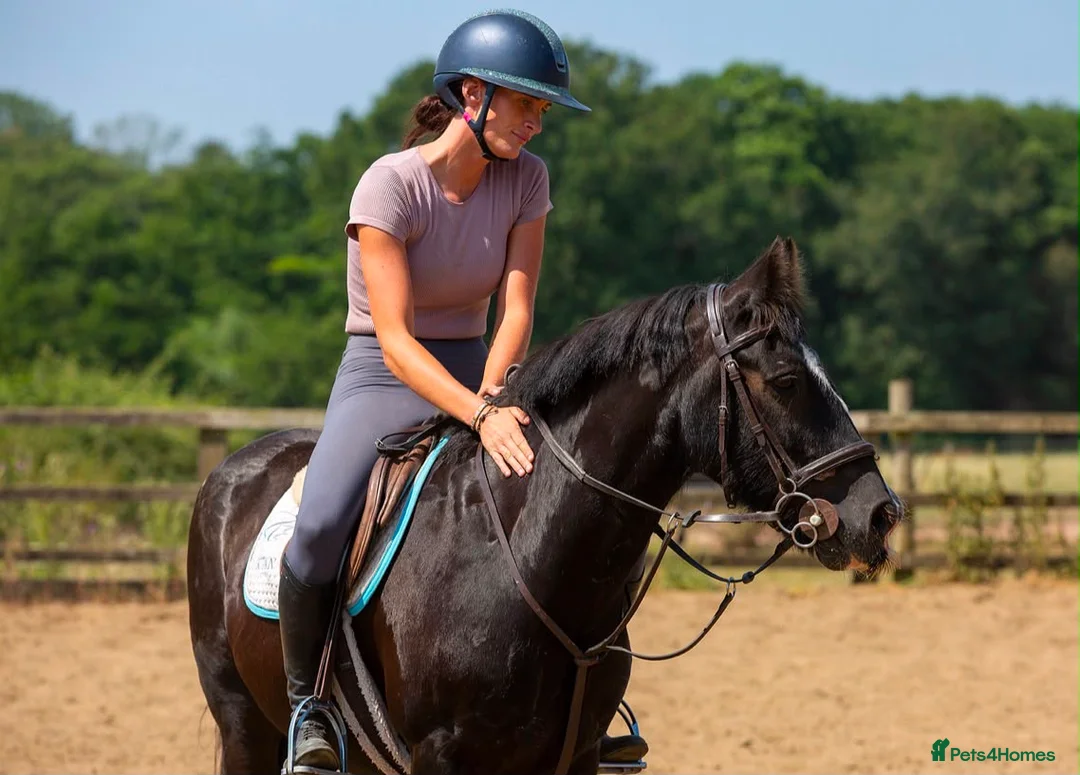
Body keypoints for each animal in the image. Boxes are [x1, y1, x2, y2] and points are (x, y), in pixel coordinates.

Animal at [187, 236, 903, 775]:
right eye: (786, 380)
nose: (880, 514)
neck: (527, 558)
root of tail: (232, 469)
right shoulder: (440, 757)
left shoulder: (576, 756)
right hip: (245, 726)